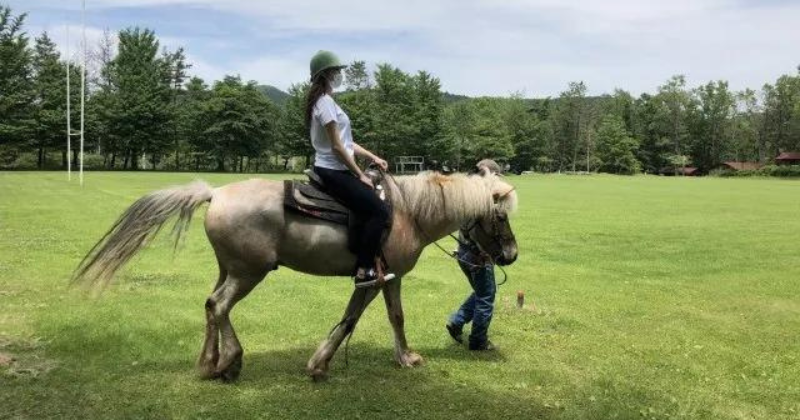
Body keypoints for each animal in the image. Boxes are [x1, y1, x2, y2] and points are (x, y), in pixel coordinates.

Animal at [75, 169, 520, 382]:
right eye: (500, 216)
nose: (512, 255)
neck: (408, 212)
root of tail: (215, 193)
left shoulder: (383, 279)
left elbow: (378, 317)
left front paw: (398, 357)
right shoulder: (380, 277)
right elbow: (363, 318)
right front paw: (324, 364)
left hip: (228, 268)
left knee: (209, 305)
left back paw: (208, 362)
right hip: (248, 272)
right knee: (219, 305)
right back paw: (230, 362)